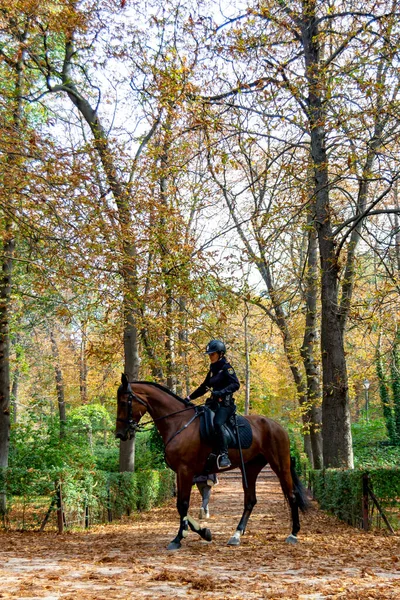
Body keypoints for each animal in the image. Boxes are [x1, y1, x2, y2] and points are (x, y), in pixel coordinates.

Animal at [115, 378, 310, 552]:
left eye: (124, 403)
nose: (120, 434)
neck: (179, 423)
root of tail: (278, 426)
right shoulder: (182, 472)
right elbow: (182, 506)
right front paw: (204, 531)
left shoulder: (185, 470)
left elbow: (183, 504)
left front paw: (179, 538)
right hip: (250, 468)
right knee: (250, 501)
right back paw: (236, 535)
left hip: (280, 465)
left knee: (292, 495)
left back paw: (293, 534)